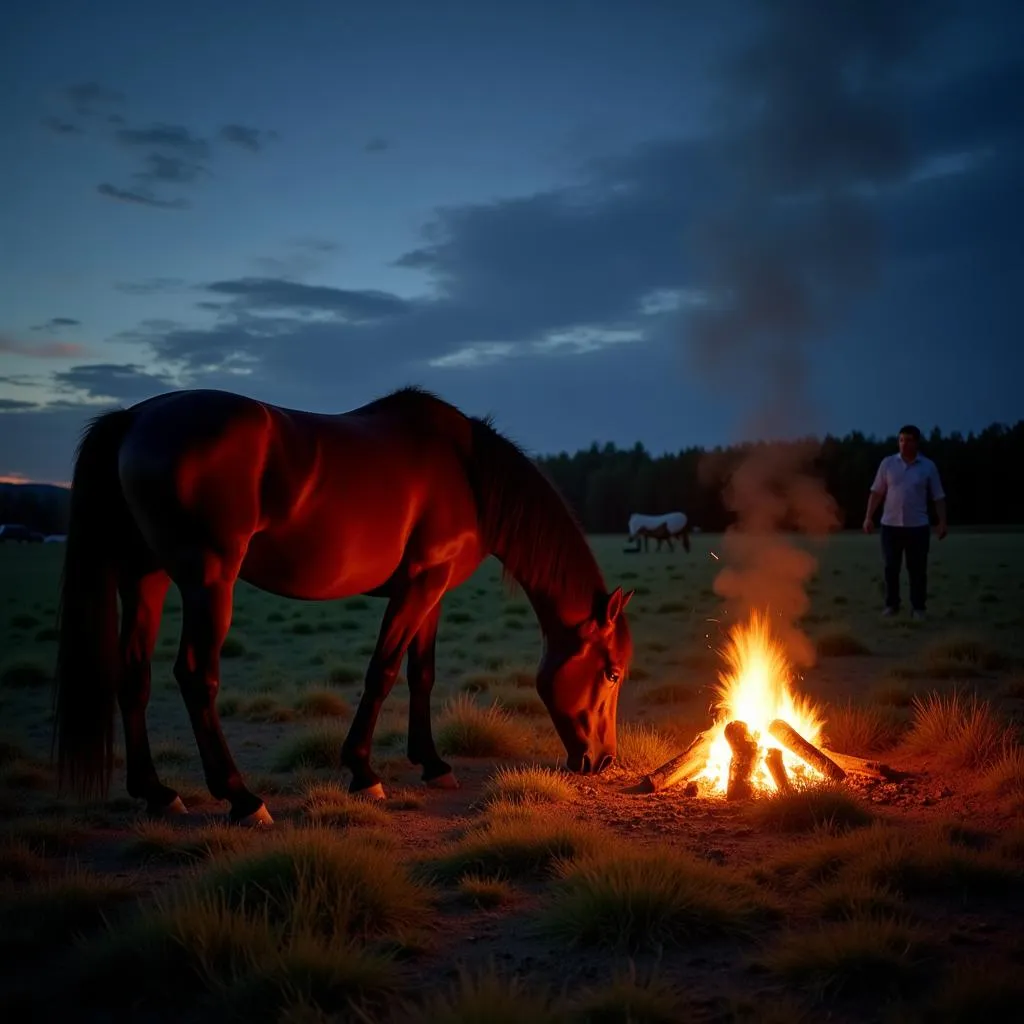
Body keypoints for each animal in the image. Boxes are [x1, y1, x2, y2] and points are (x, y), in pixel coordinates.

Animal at [56, 387, 634, 827]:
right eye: (611, 673)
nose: (602, 760)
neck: (468, 474)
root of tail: (134, 418)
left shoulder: (432, 591)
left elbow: (421, 675)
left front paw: (432, 764)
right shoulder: (420, 586)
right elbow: (383, 672)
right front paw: (363, 773)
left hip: (144, 578)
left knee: (134, 677)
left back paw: (157, 793)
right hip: (208, 581)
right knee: (197, 676)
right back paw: (242, 799)